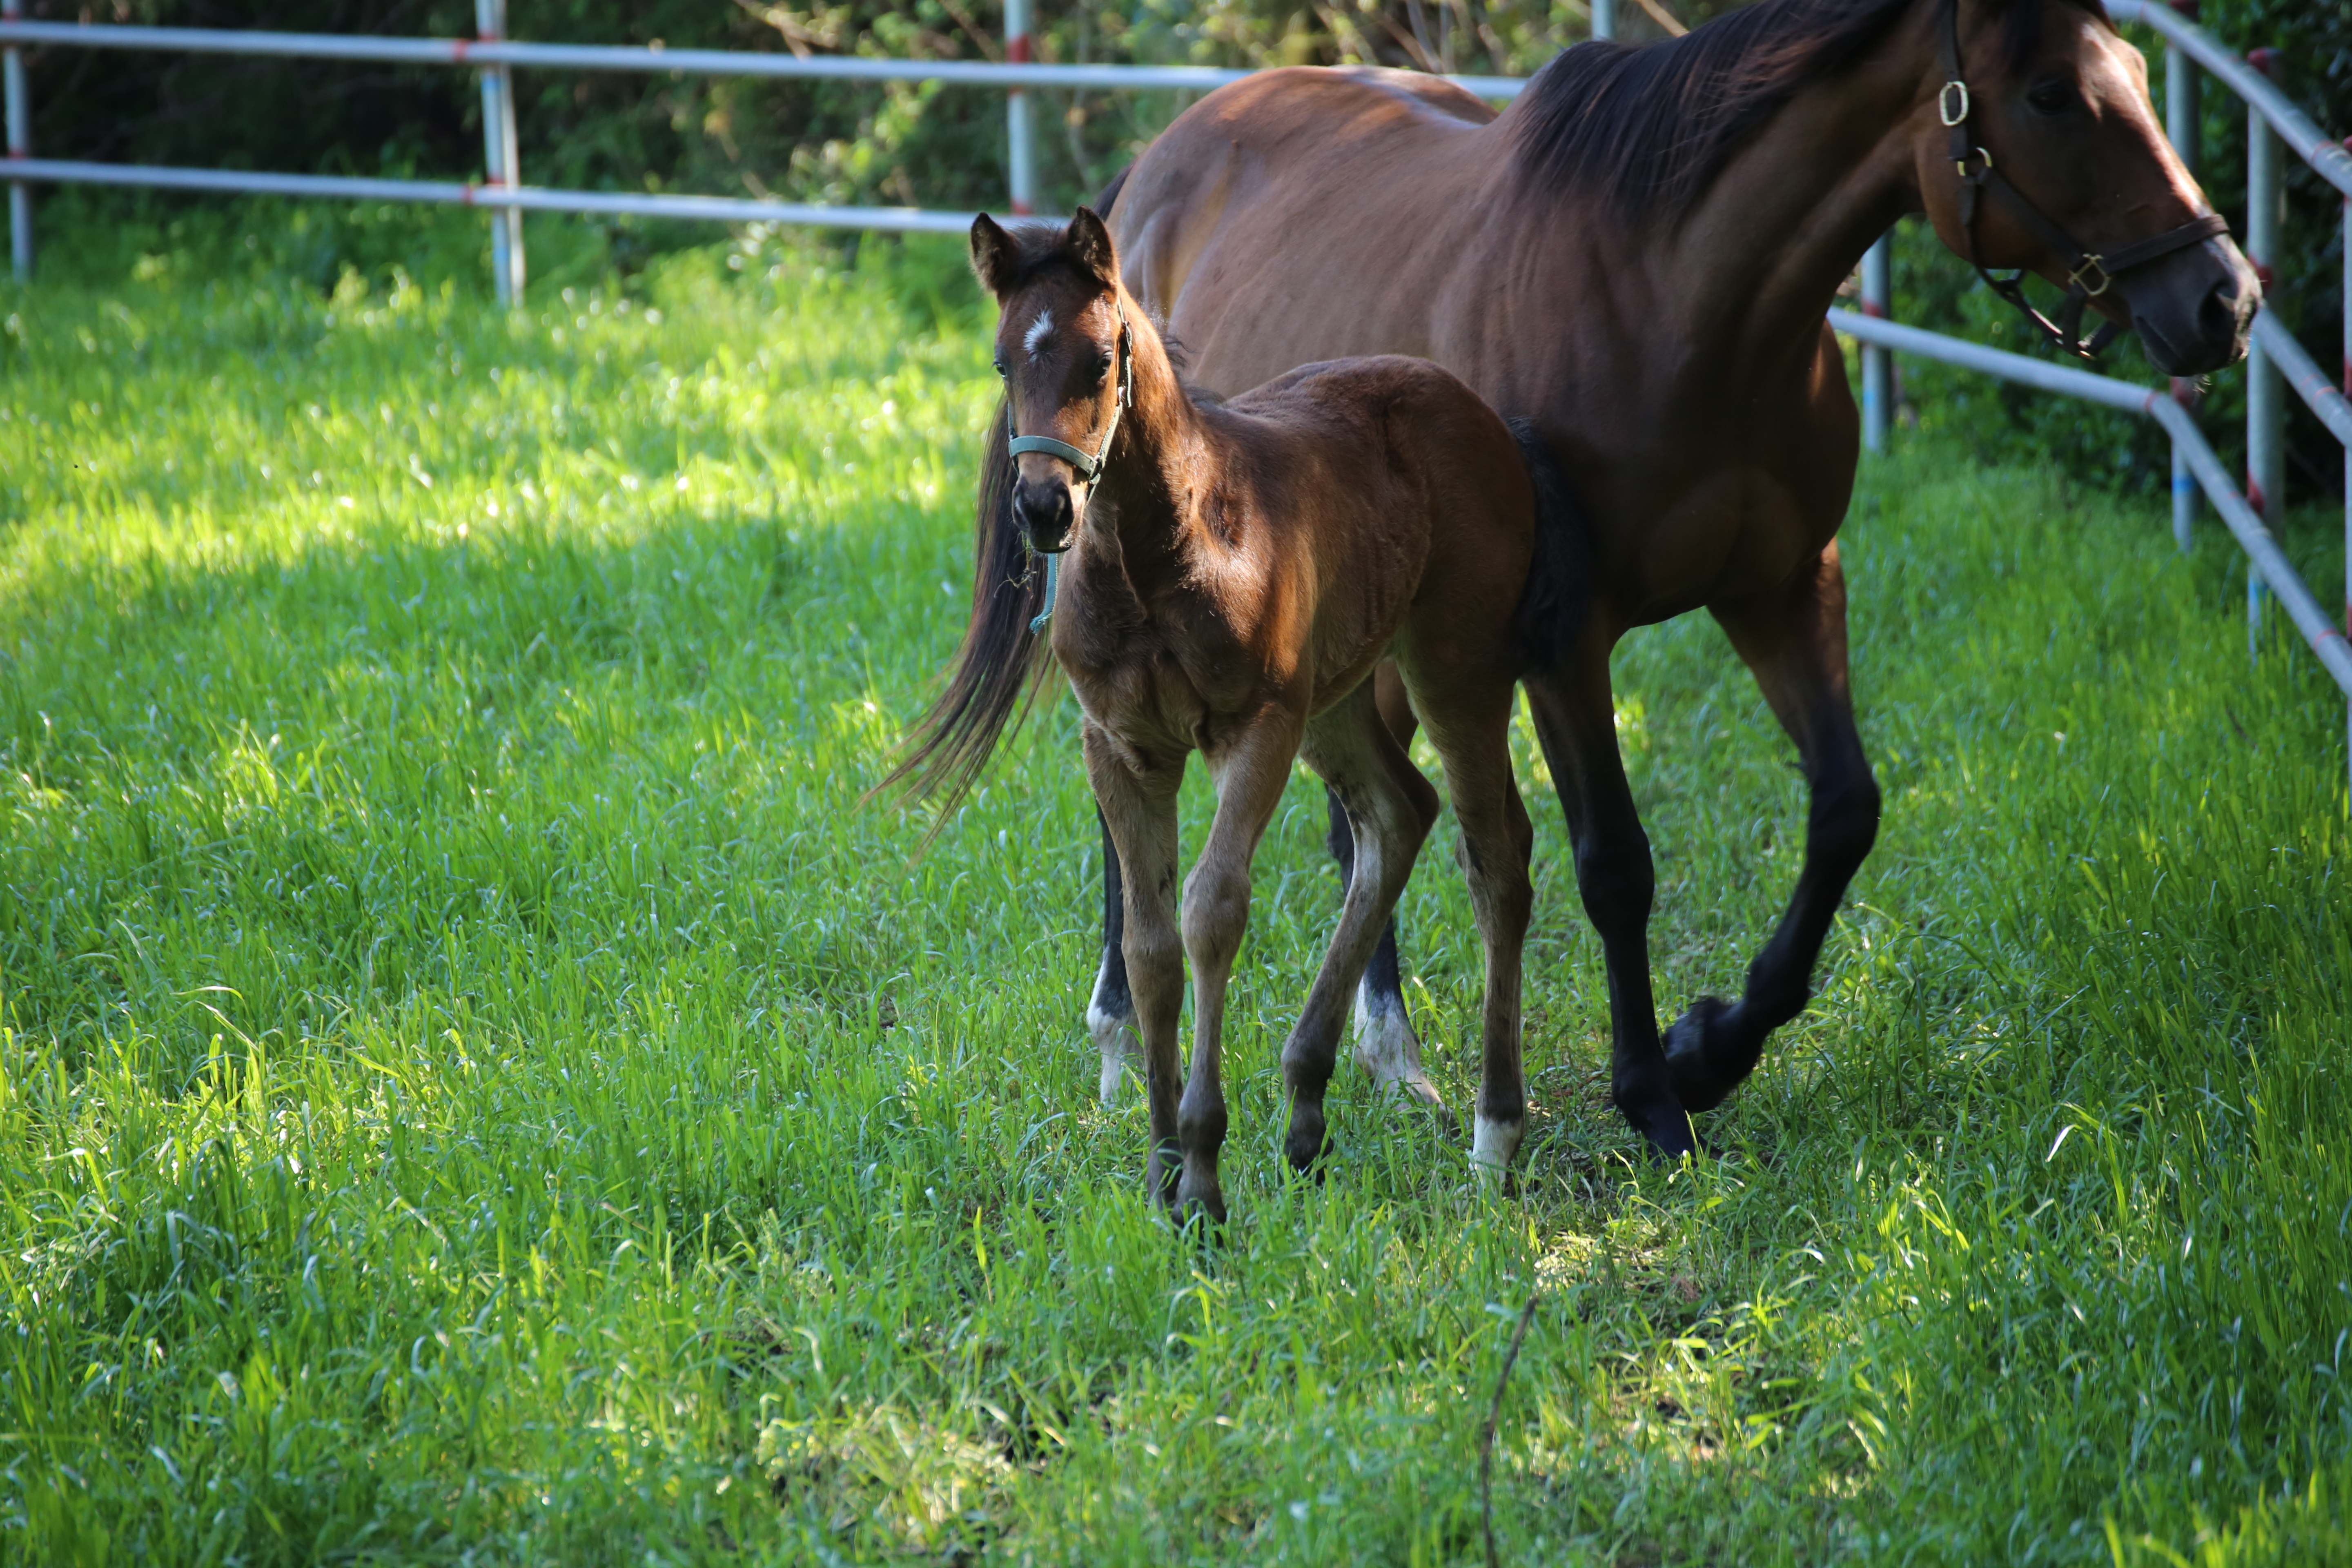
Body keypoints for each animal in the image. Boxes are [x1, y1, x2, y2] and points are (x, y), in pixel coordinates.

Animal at [898, 205, 1580, 1213]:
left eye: (1099, 362)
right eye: (1001, 364)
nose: (1043, 508)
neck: (1161, 553)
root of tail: (1475, 407)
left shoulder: (1255, 731)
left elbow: (1212, 912)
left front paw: (1205, 1174)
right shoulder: (1122, 747)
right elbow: (1148, 947)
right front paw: (1161, 1172)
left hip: (1454, 666)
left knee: (1495, 854)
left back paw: (1494, 1133)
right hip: (1335, 700)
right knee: (1397, 815)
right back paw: (1305, 1107)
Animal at [1077, 0, 2248, 1161]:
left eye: (2140, 68)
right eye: (2051, 94)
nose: (2224, 300)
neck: (1677, 304)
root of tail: (1153, 168)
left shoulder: (1784, 589)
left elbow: (1845, 812)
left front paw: (1713, 1044)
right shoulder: (1563, 638)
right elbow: (1615, 864)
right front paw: (1650, 1088)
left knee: (1368, 818)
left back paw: (1390, 1054)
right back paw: (1126, 1041)